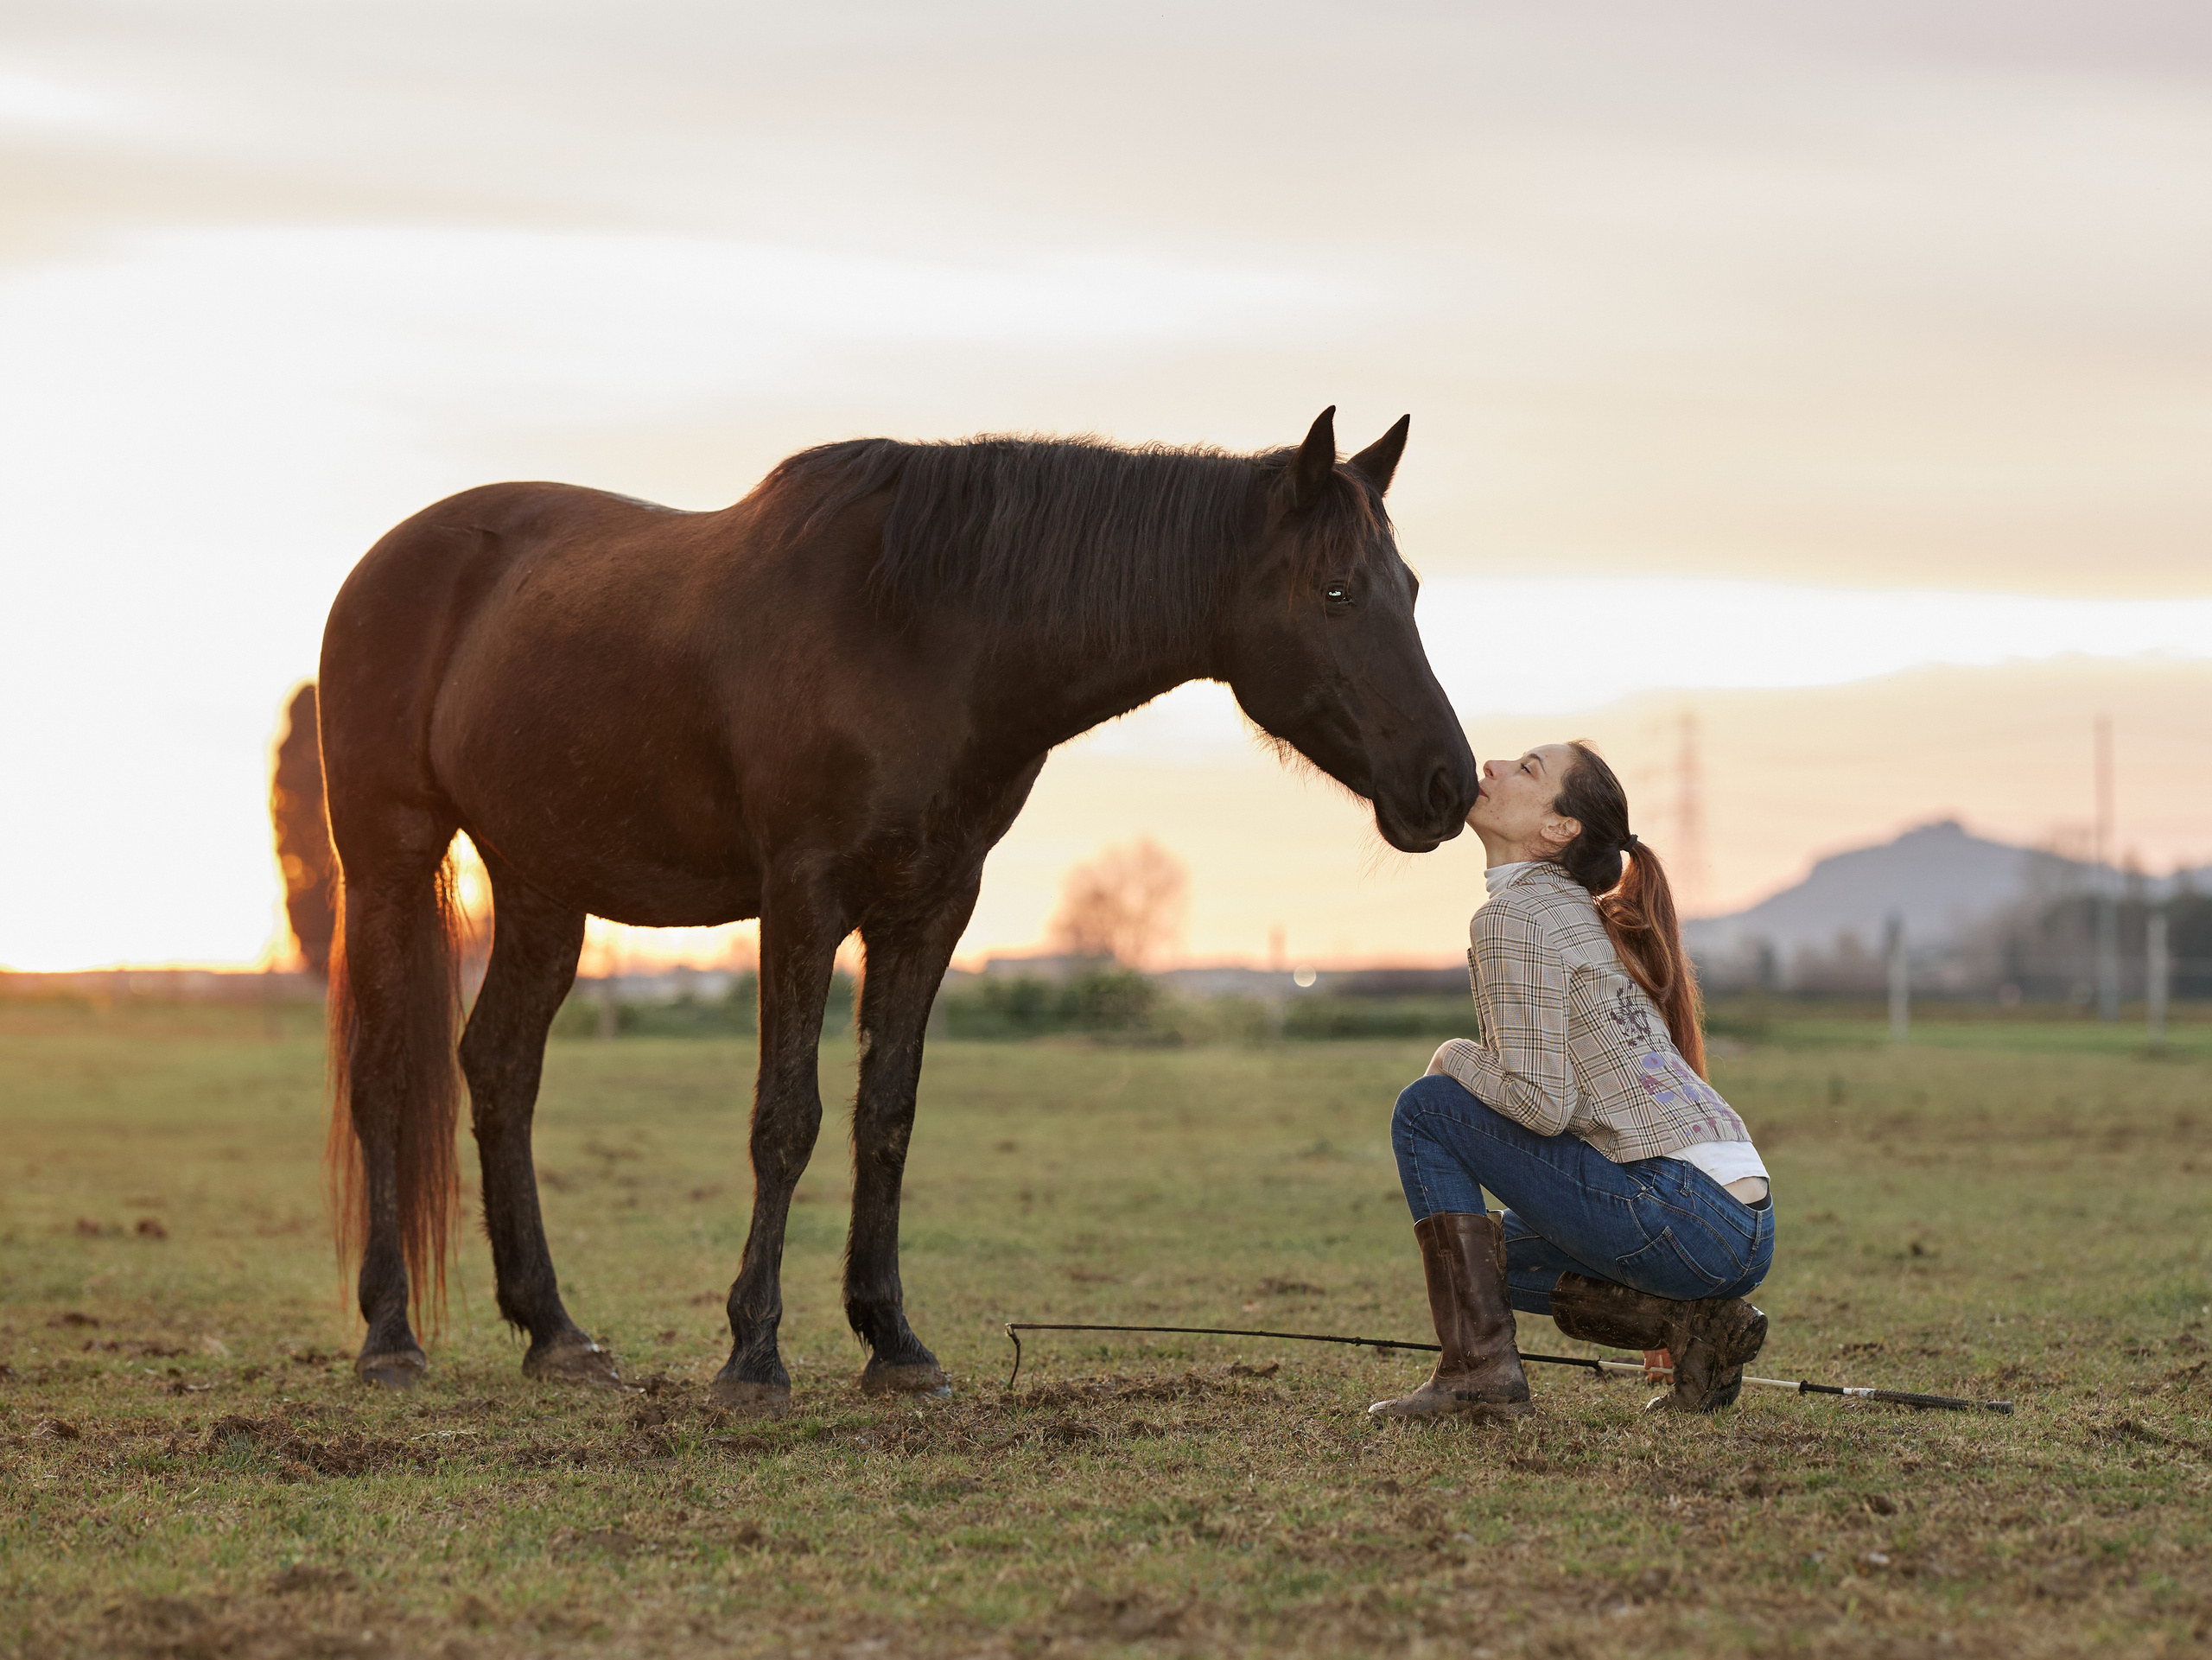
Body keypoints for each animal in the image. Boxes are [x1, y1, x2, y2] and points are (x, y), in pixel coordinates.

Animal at [317, 406, 1479, 1414]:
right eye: (1335, 590)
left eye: (1413, 587)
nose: (1447, 785)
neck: (917, 628)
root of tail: (390, 560)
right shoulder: (802, 895)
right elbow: (786, 1118)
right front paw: (752, 1356)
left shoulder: (930, 906)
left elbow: (887, 1114)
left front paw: (894, 1341)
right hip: (388, 862)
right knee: (385, 1077)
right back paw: (389, 1338)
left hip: (540, 884)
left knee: (500, 1067)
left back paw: (555, 1333)